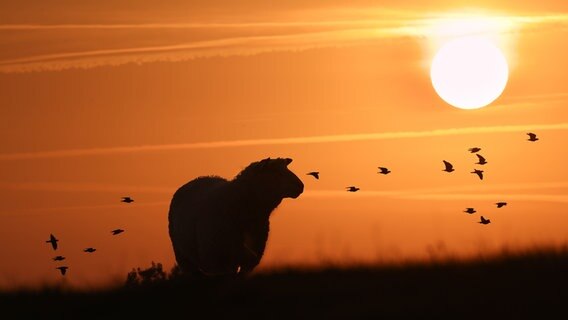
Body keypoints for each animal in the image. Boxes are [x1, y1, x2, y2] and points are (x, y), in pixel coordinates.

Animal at [168, 158, 304, 278]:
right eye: (276, 172)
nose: (301, 185)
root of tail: (197, 179)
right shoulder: (216, 256)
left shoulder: (251, 252)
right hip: (184, 257)